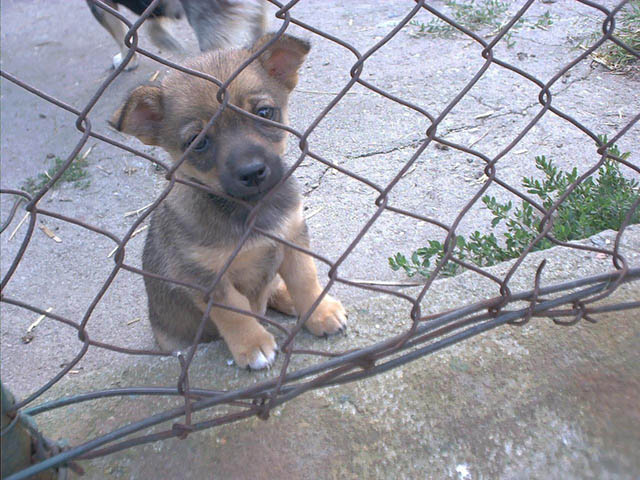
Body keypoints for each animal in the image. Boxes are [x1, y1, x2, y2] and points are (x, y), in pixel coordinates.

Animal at [112, 34, 348, 368]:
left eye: (264, 113)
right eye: (198, 142)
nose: (253, 172)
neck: (251, 209)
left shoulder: (292, 235)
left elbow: (305, 278)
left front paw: (319, 311)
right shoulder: (207, 280)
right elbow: (235, 311)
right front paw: (253, 345)